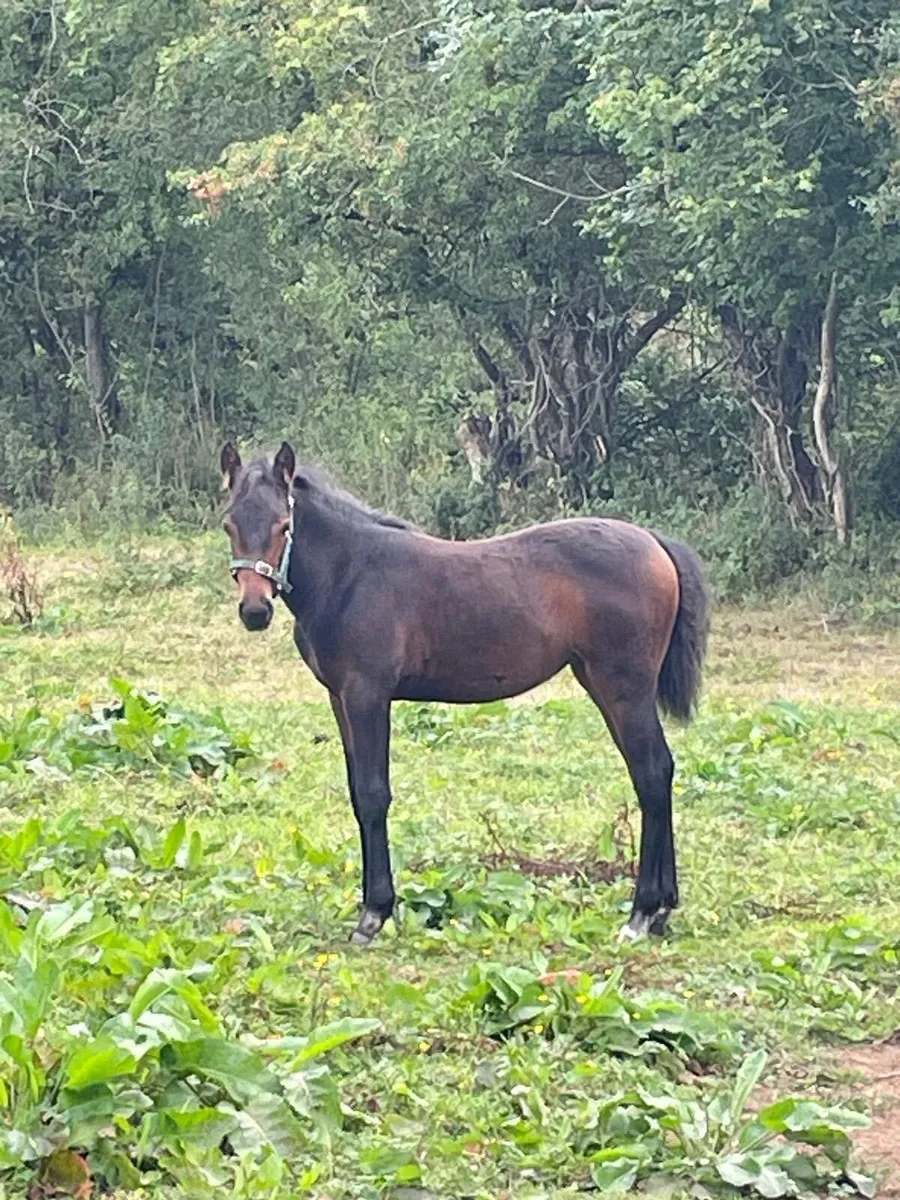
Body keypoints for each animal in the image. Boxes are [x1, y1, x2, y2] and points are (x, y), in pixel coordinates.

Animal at [220, 441, 710, 946]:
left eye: (283, 525)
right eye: (229, 525)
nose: (255, 610)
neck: (350, 575)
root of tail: (653, 541)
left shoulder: (367, 695)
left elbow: (374, 794)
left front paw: (374, 914)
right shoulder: (340, 699)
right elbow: (358, 794)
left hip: (624, 687)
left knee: (651, 772)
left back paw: (641, 912)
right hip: (602, 681)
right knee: (656, 772)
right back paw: (662, 910)